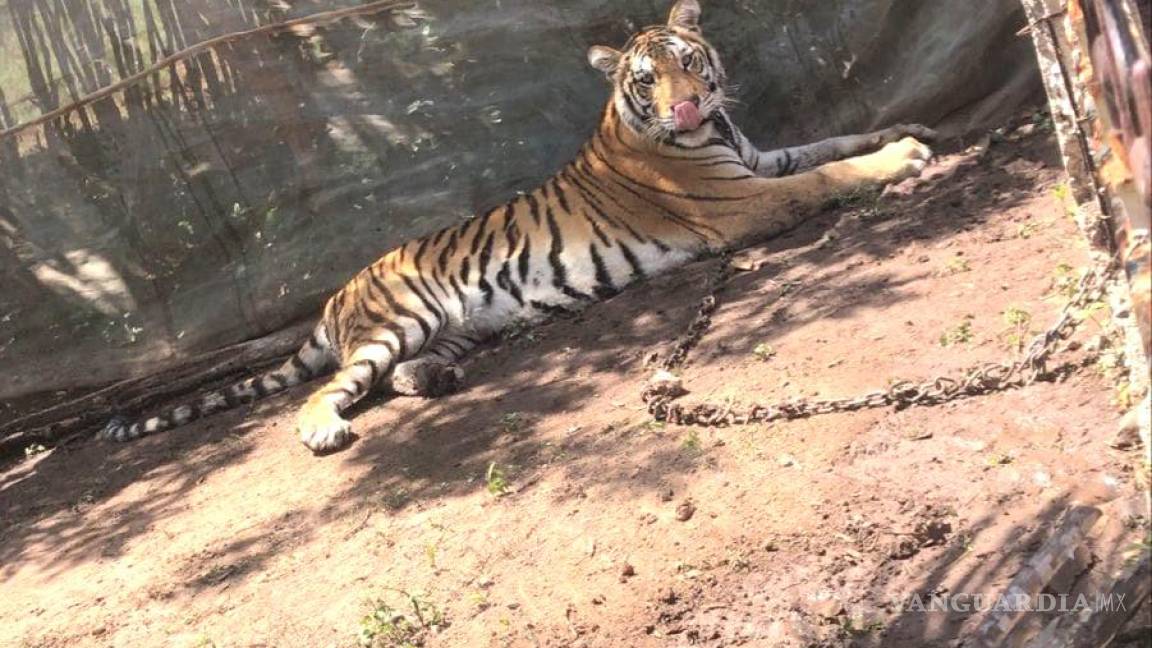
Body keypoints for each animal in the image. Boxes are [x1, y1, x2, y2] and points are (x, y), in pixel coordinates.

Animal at [101, 0, 935, 451]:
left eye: (689, 61)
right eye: (647, 79)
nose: (687, 106)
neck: (715, 135)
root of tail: (336, 296)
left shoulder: (759, 162)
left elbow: (829, 144)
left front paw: (903, 126)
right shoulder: (744, 201)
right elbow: (828, 174)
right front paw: (907, 153)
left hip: (459, 323)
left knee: (398, 374)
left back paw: (435, 378)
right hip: (402, 315)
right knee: (331, 389)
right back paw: (323, 429)